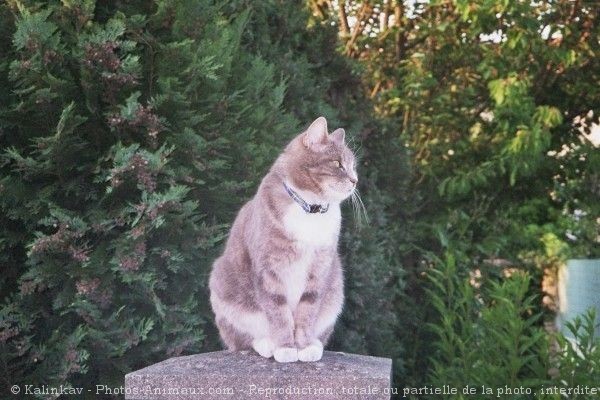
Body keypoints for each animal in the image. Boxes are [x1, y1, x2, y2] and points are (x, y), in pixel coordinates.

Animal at [210, 115, 356, 362]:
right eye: (337, 164)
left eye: (354, 166)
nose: (355, 180)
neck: (310, 209)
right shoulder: (269, 269)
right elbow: (278, 311)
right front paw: (286, 347)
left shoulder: (320, 268)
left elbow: (308, 309)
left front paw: (304, 346)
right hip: (223, 287)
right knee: (241, 340)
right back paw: (266, 344)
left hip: (336, 291)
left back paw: (315, 344)